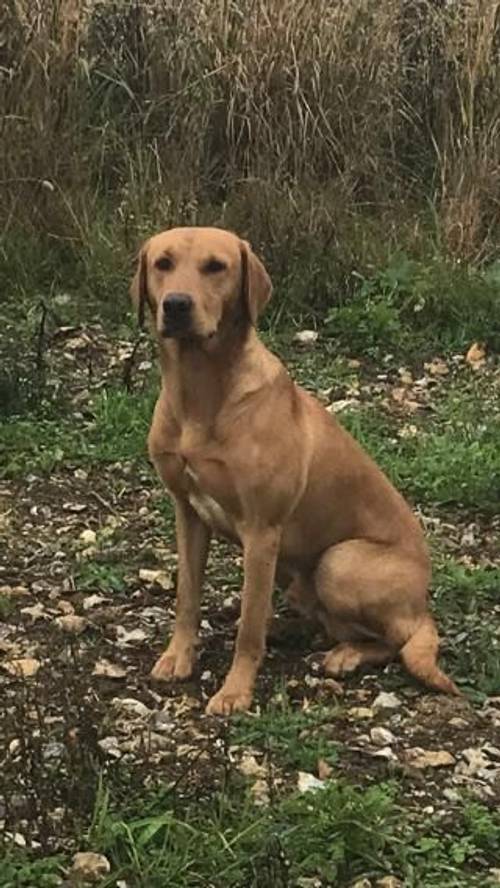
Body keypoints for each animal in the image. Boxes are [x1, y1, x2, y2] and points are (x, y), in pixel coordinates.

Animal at [130, 227, 460, 716]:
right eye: (163, 263)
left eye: (216, 266)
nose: (176, 305)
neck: (200, 391)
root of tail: (423, 600)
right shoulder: (187, 515)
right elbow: (187, 598)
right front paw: (178, 656)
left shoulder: (262, 531)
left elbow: (248, 629)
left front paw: (235, 690)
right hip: (296, 573)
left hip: (339, 563)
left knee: (401, 638)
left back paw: (344, 654)